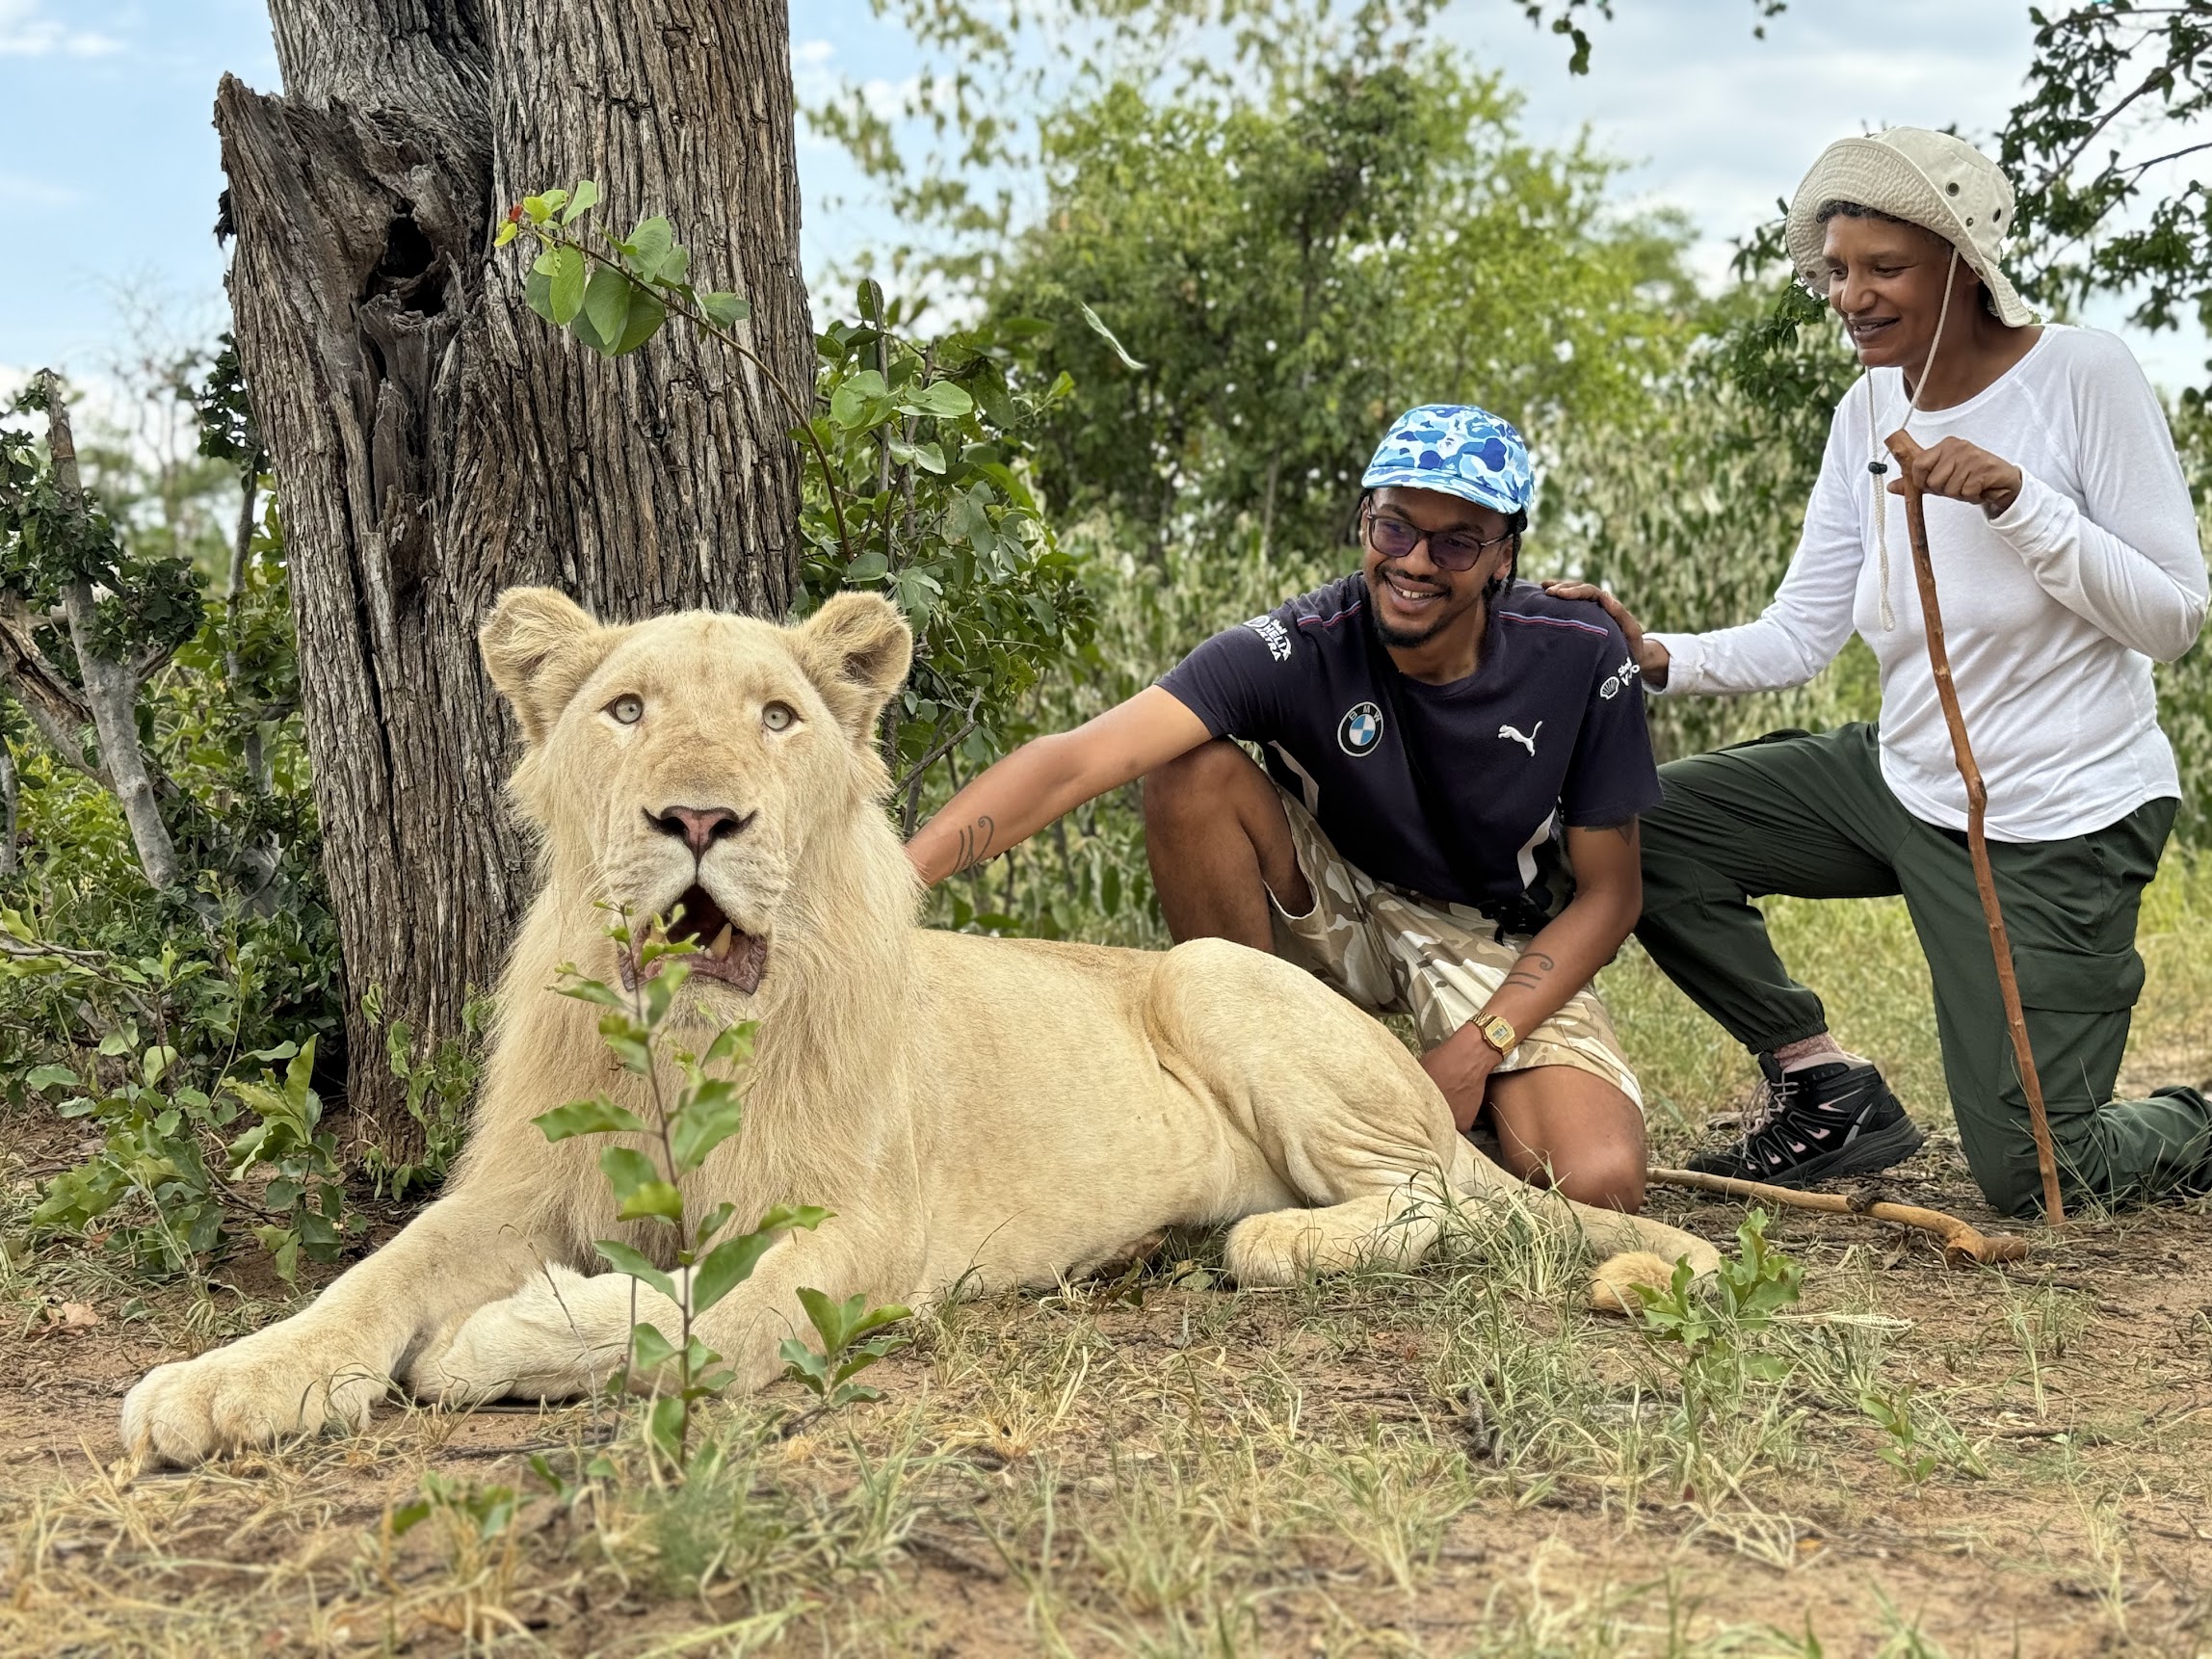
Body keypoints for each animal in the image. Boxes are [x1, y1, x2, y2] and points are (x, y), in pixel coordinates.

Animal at [121, 588, 1720, 1465]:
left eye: (776, 717)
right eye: (626, 709)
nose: (697, 819)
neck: (691, 1038)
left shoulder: (854, 1242)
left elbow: (687, 1312)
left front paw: (490, 1339)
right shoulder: (521, 1183)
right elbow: (369, 1278)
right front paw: (220, 1385)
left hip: (1226, 980)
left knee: (1442, 1200)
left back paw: (1263, 1236)